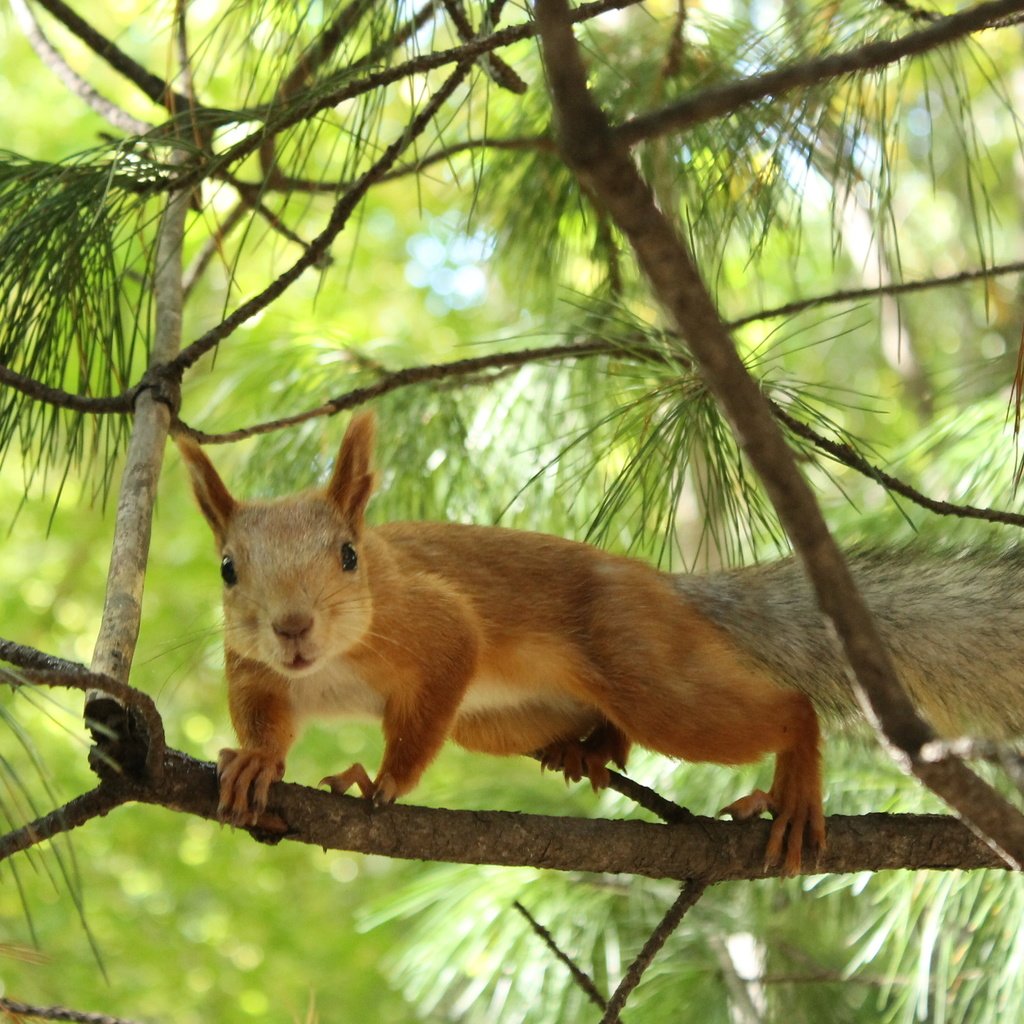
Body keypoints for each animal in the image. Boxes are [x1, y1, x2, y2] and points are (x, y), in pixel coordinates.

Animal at [176, 411, 1024, 876]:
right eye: (227, 569)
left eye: (349, 556)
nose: (292, 626)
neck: (330, 664)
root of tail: (669, 592)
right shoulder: (253, 667)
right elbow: (266, 716)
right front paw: (256, 762)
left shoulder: (436, 623)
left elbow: (433, 692)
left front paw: (380, 782)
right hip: (499, 718)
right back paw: (586, 748)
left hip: (647, 668)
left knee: (786, 707)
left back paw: (794, 789)